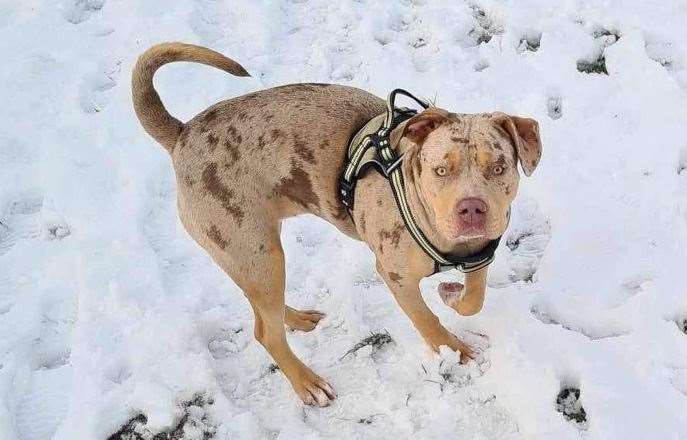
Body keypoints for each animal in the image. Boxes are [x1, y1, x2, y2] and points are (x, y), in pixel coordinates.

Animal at [133, 43, 544, 408]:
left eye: (499, 167)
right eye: (441, 170)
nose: (471, 208)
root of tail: (182, 133)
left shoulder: (481, 253)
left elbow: (474, 299)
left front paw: (451, 293)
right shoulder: (396, 276)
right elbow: (426, 319)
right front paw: (454, 350)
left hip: (253, 258)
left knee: (262, 310)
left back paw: (298, 319)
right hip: (256, 251)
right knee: (265, 332)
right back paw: (307, 384)